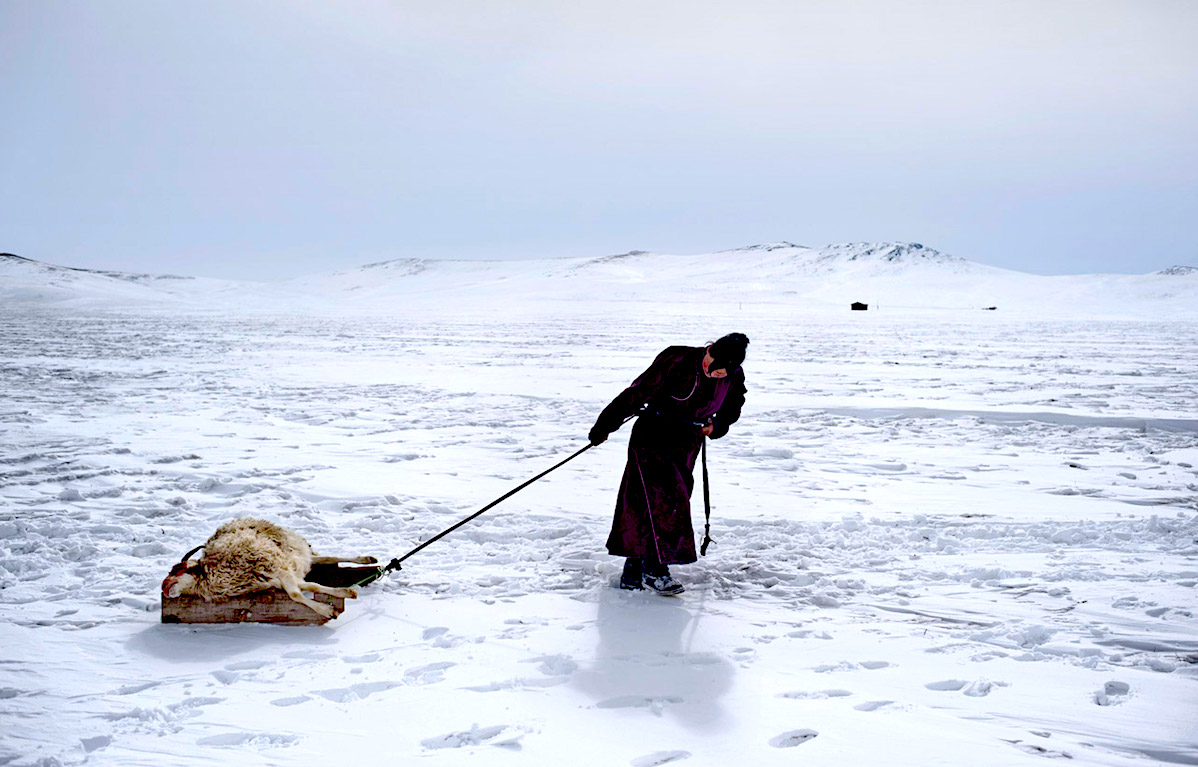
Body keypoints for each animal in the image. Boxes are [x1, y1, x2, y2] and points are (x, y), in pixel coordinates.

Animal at [160, 517, 373, 618]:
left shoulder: (277, 567)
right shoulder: (274, 578)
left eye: (177, 569)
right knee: (325, 558)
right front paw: (343, 595)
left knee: (325, 558)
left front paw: (328, 608)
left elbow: (297, 594)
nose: (163, 587)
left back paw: (367, 559)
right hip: (297, 559)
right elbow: (307, 587)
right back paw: (366, 559)